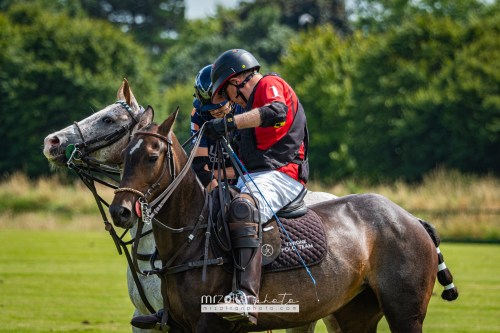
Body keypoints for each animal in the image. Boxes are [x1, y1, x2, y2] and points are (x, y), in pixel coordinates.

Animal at [109, 110, 458, 330]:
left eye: (152, 156)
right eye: (124, 156)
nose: (120, 211)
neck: (193, 237)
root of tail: (413, 219)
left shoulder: (209, 324)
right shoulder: (179, 326)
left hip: (406, 313)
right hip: (355, 313)